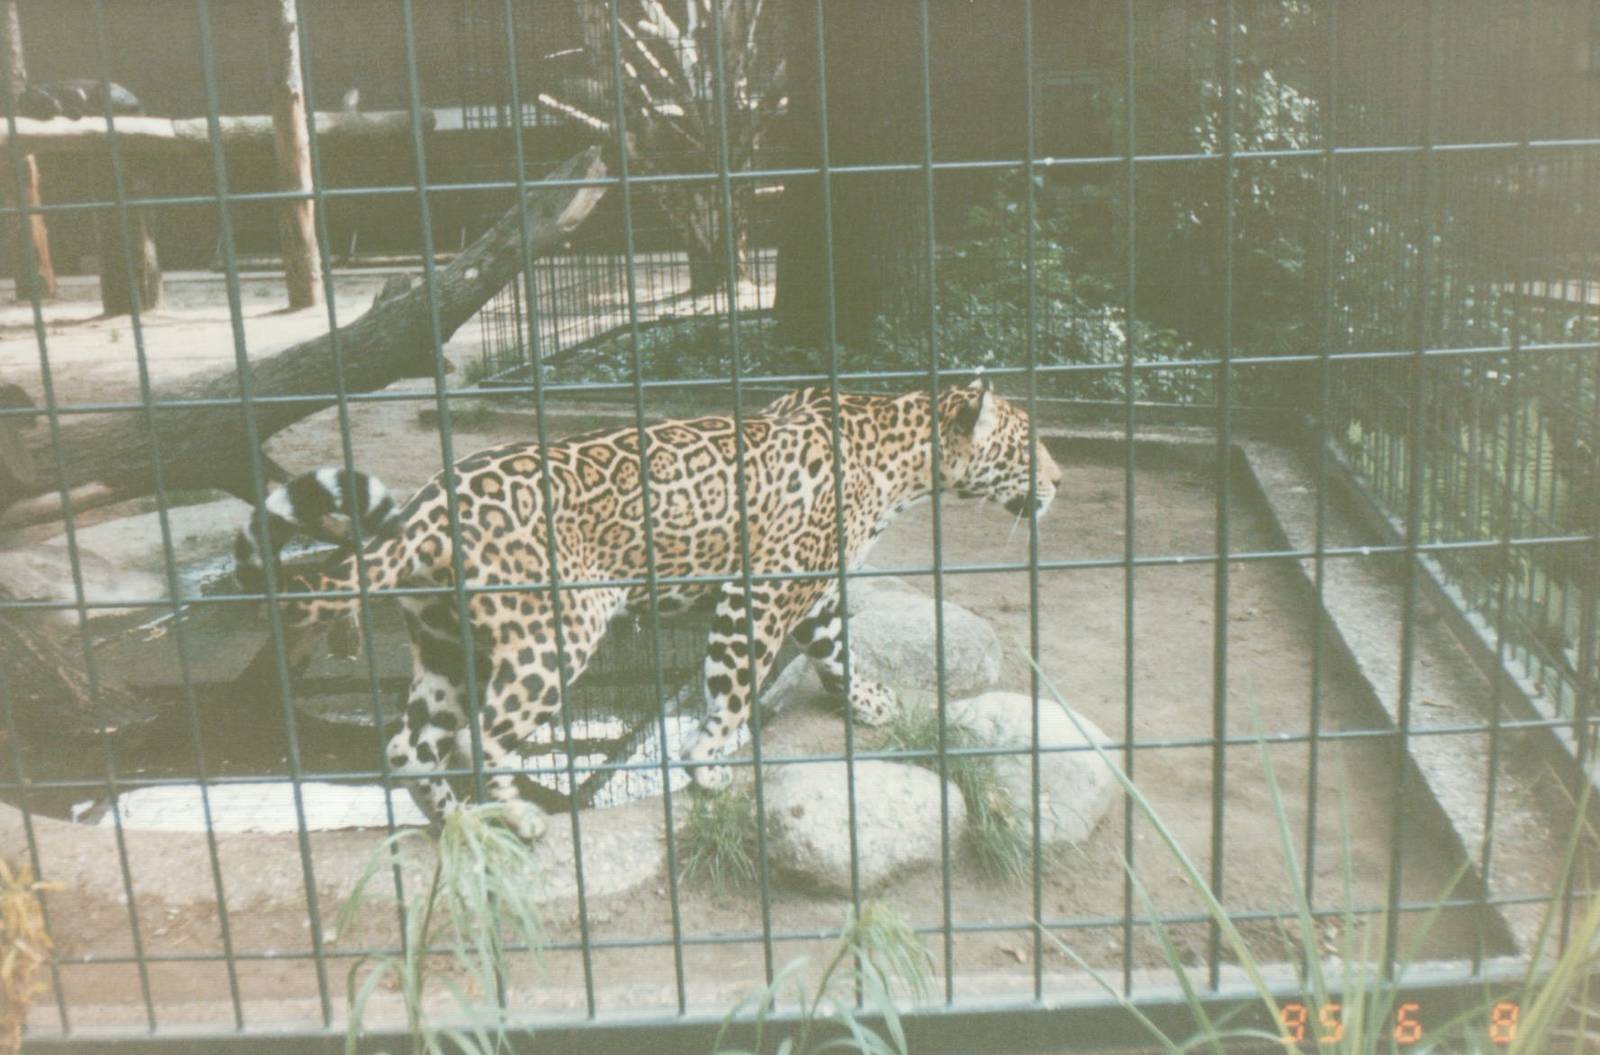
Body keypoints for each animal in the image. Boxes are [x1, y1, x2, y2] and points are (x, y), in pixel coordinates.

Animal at [264, 378, 1062, 841]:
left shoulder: (814, 589)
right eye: (1028, 448)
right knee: (480, 738)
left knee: (408, 746)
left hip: (445, 641)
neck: (901, 452)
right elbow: (734, 688)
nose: (1059, 481)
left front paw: (869, 702)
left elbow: (837, 648)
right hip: (552, 634)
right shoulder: (760, 590)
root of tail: (423, 509)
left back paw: (461, 823)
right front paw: (706, 762)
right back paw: (516, 816)